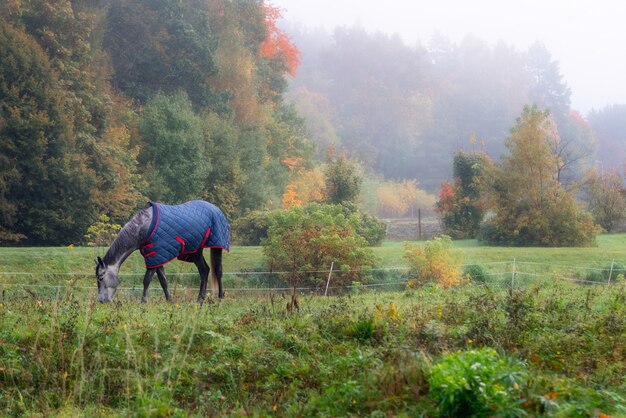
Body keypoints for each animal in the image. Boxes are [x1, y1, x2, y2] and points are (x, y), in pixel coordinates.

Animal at [92, 200, 229, 304]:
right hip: (195, 252)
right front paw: (169, 301)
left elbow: (147, 280)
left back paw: (220, 298)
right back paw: (200, 299)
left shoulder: (155, 257)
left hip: (216, 247)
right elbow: (163, 281)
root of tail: (216, 209)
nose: (102, 301)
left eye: (100, 277)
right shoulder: (156, 257)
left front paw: (143, 302)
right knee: (204, 270)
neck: (144, 227)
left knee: (218, 271)